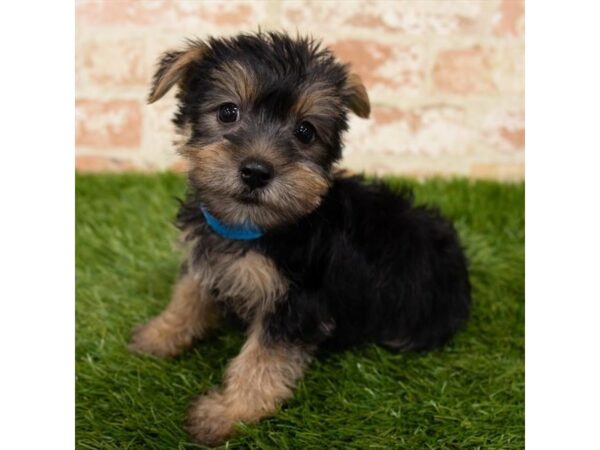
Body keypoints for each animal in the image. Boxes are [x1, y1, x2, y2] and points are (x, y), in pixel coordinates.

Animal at [129, 32, 472, 446]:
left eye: (305, 131)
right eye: (228, 112)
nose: (256, 171)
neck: (253, 226)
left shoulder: (297, 304)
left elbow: (261, 361)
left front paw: (230, 413)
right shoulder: (207, 254)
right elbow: (187, 294)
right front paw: (159, 334)